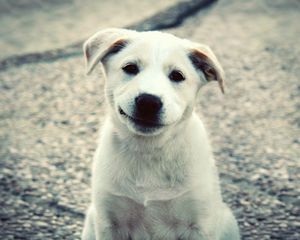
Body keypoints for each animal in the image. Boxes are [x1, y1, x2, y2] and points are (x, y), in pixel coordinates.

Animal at [81, 28, 240, 240]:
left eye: (177, 75)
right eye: (130, 68)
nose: (148, 101)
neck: (149, 150)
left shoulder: (199, 224)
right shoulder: (109, 222)